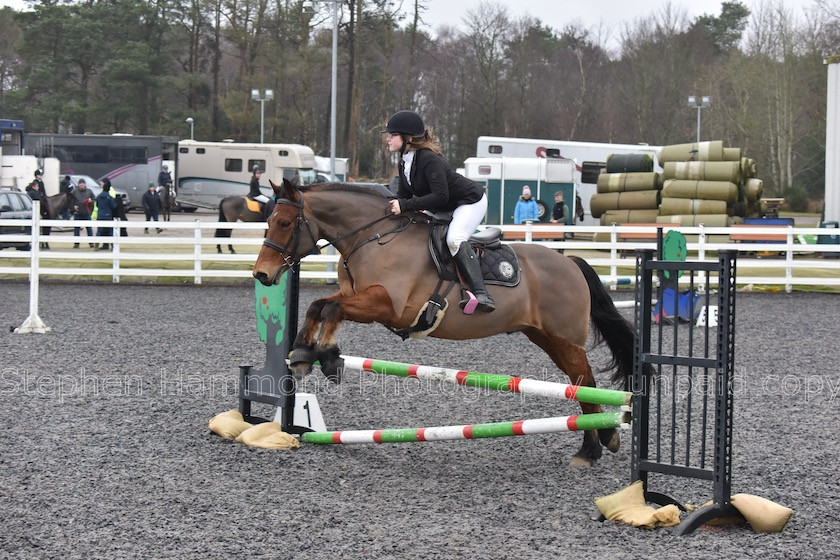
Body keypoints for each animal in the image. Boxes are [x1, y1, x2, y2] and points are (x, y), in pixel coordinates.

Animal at [251, 180, 648, 468]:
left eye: (285, 223)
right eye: (268, 221)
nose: (262, 274)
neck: (372, 238)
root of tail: (571, 263)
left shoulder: (388, 306)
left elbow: (331, 310)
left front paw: (328, 356)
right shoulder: (357, 297)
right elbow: (319, 306)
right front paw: (303, 353)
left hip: (565, 338)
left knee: (586, 383)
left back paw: (596, 446)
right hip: (546, 337)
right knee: (580, 386)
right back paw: (596, 444)